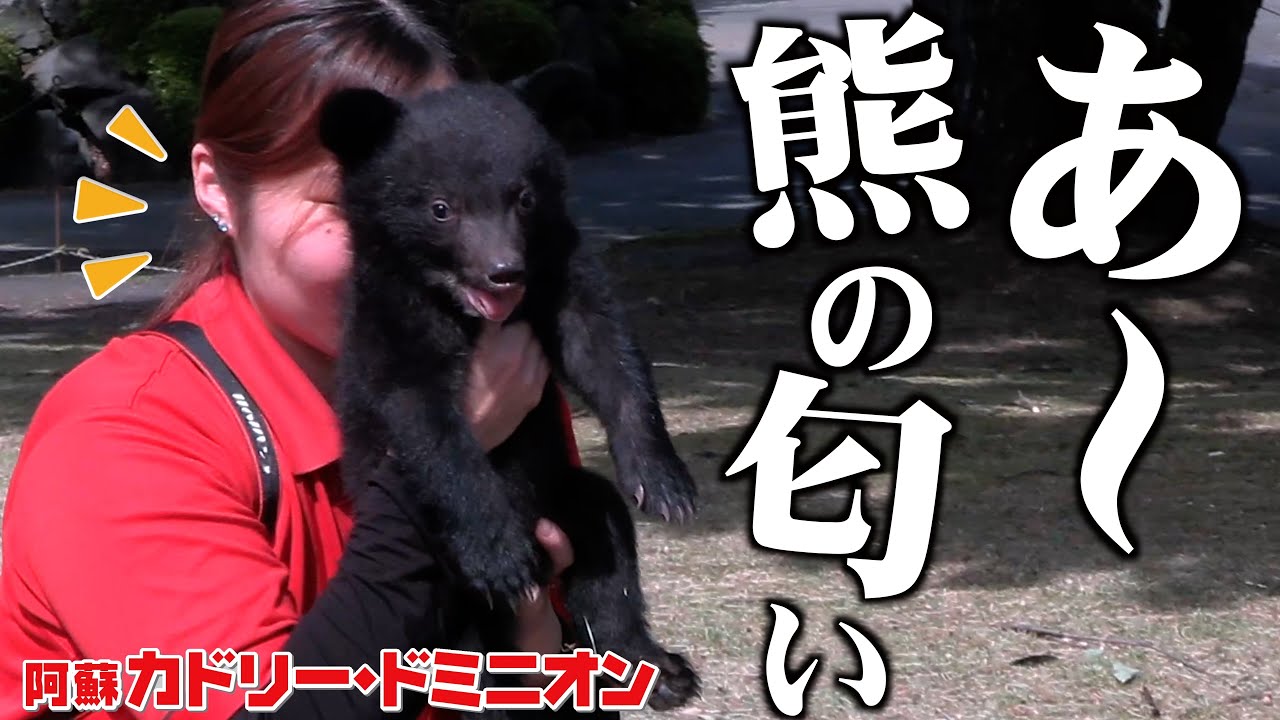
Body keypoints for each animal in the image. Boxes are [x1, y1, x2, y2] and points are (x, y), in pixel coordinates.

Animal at [316, 81, 701, 713]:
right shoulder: (391, 328)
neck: (469, 313)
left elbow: (605, 351)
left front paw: (665, 482)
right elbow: (428, 426)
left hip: (567, 495)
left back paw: (655, 667)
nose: (503, 271)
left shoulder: (556, 276)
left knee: (608, 550)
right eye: (440, 207)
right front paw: (498, 555)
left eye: (523, 198)